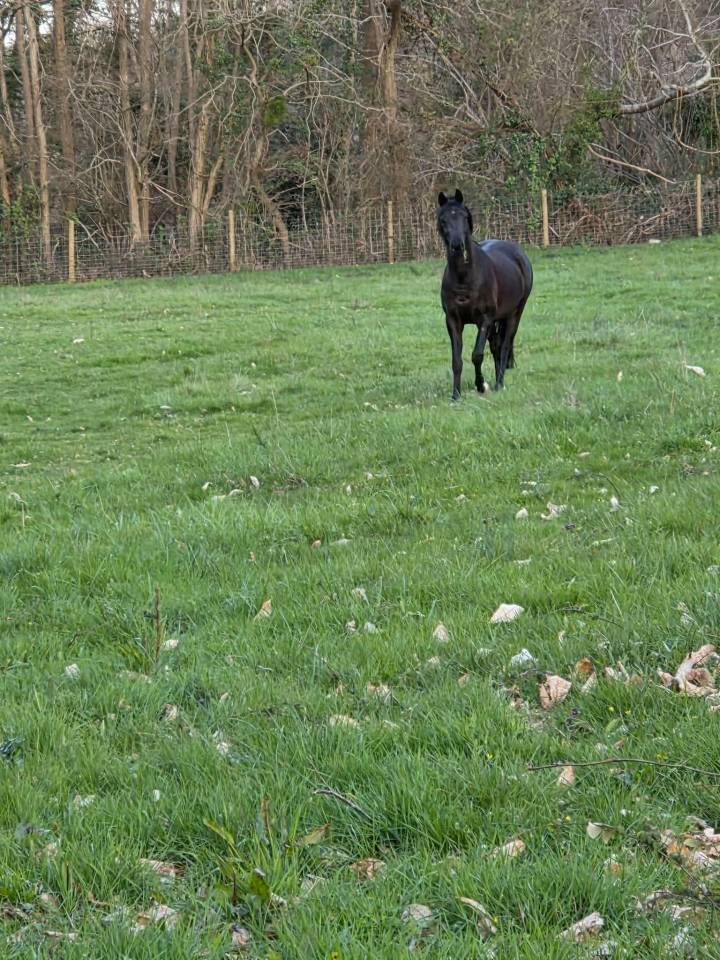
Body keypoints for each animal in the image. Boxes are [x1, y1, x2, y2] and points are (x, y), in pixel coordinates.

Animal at [437, 189, 533, 400]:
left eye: (464, 217)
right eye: (443, 219)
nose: (457, 244)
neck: (465, 276)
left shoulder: (485, 320)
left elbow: (477, 355)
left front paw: (481, 385)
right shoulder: (453, 321)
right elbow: (456, 360)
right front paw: (456, 395)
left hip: (515, 313)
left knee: (504, 346)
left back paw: (499, 383)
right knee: (496, 345)